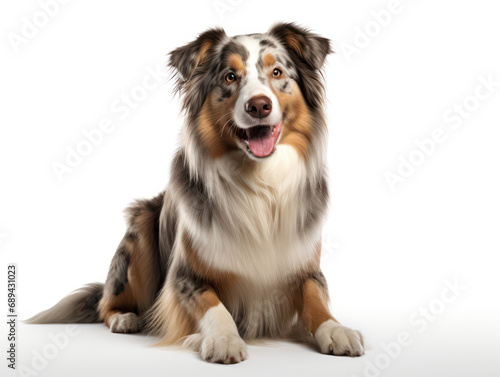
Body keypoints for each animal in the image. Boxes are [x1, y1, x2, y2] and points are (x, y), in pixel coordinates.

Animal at [28, 22, 364, 362]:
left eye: (277, 72)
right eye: (229, 77)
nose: (259, 105)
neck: (260, 182)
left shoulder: (304, 265)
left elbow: (316, 298)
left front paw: (336, 329)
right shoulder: (185, 275)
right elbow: (214, 305)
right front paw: (224, 339)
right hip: (141, 232)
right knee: (105, 303)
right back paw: (125, 318)